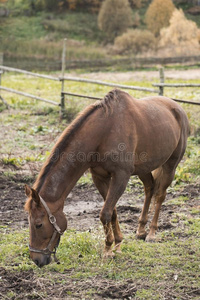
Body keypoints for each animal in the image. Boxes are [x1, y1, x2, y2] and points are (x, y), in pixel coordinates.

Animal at [24, 88, 190, 268]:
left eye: (38, 224)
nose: (36, 259)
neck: (104, 132)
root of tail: (177, 108)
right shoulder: (99, 177)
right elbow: (112, 211)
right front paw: (118, 244)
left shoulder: (121, 176)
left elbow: (105, 213)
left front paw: (108, 250)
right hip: (143, 169)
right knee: (149, 189)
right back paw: (140, 231)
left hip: (170, 165)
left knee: (159, 195)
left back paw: (151, 233)